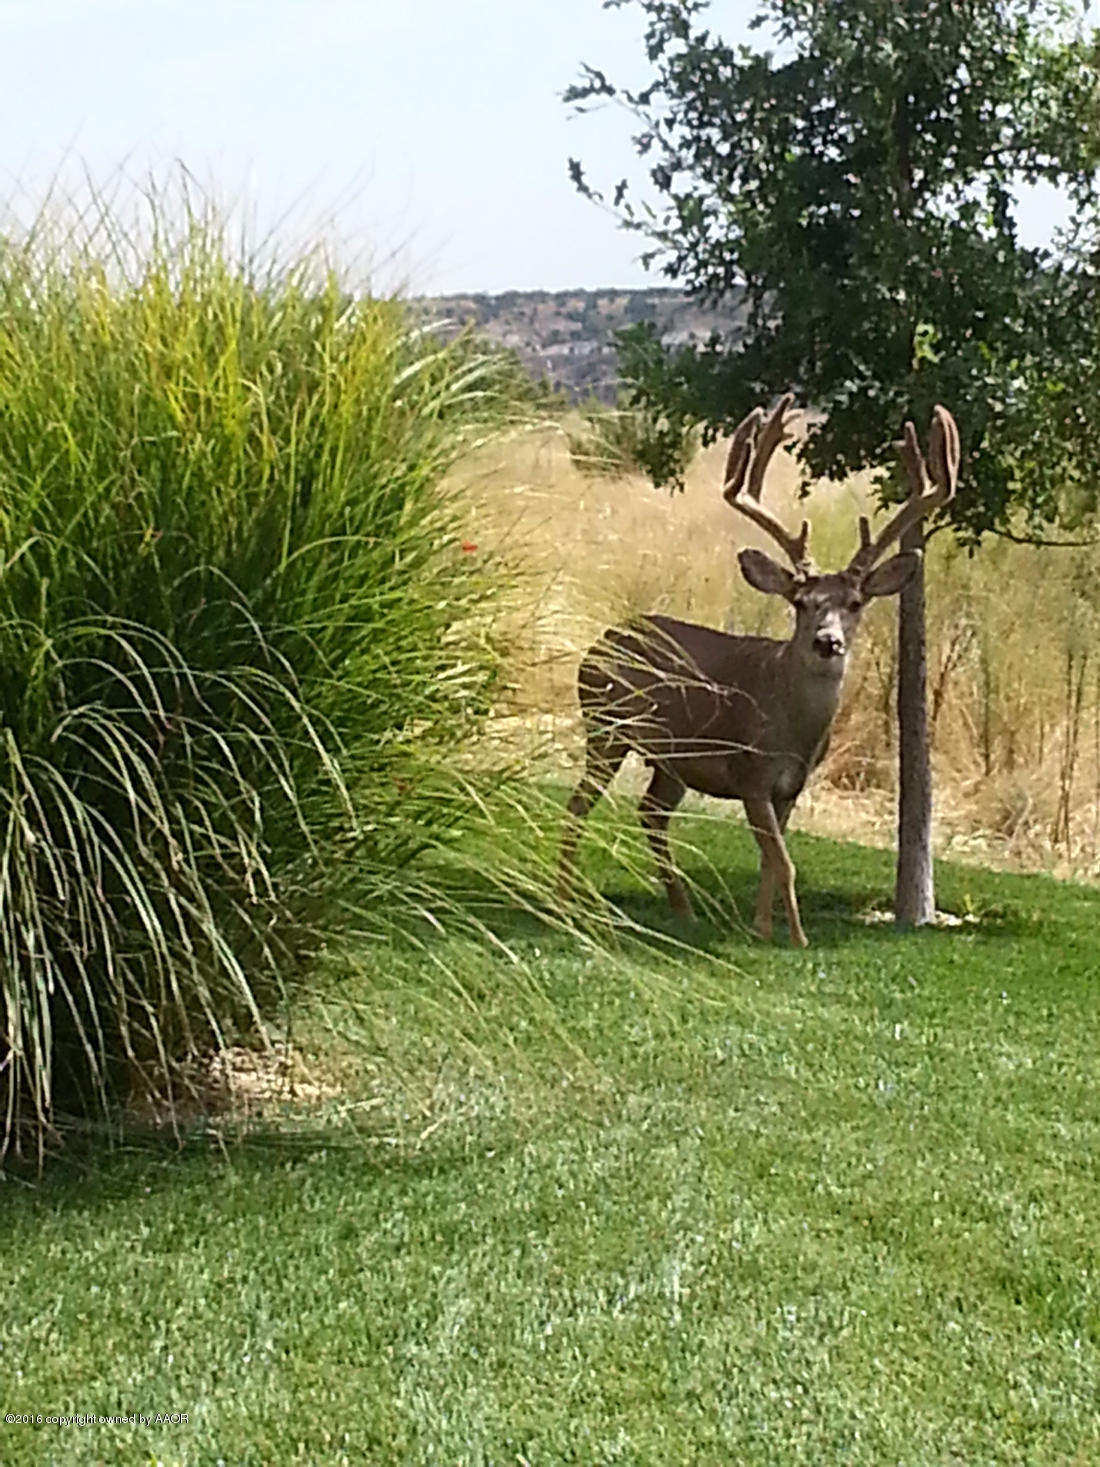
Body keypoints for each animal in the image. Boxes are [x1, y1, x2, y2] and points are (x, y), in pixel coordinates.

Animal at [557, 395, 960, 946]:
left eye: (855, 603)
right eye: (801, 602)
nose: (828, 642)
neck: (792, 728)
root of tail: (601, 642)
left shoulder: (791, 786)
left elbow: (772, 860)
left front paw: (763, 927)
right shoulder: (751, 774)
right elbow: (784, 861)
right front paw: (798, 937)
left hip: (672, 759)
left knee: (651, 812)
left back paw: (683, 910)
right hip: (606, 727)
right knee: (579, 807)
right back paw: (564, 898)